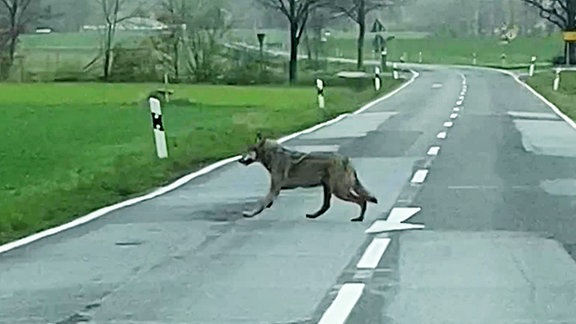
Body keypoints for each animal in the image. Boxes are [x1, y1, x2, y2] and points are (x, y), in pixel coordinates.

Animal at [237, 133, 378, 221]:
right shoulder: (277, 189)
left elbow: (261, 202)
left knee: (362, 200)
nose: (239, 160)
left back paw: (359, 218)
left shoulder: (275, 188)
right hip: (329, 188)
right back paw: (313, 216)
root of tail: (346, 160)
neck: (272, 155)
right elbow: (266, 201)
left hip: (340, 191)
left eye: (248, 151)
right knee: (326, 206)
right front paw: (266, 206)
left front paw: (251, 213)